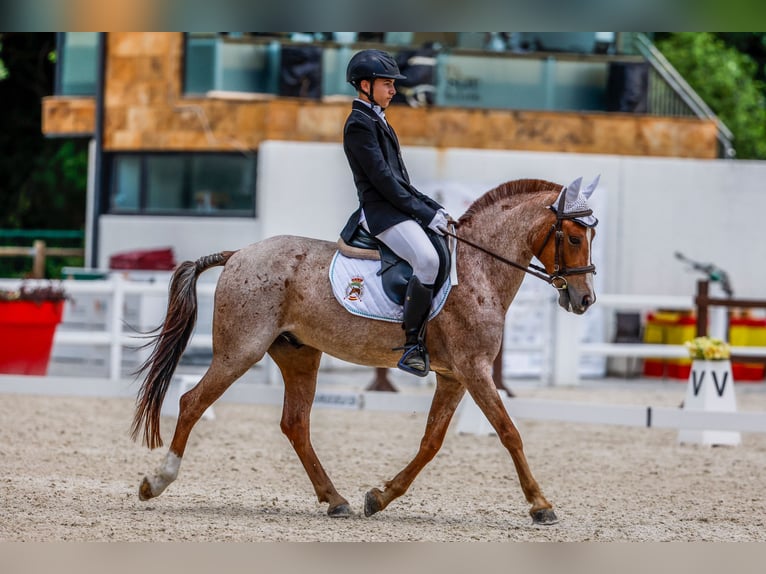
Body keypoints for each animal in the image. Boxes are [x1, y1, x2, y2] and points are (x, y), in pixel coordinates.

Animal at [132, 178, 600, 528]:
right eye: (576, 236)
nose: (584, 300)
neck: (477, 269)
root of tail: (237, 255)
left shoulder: (454, 375)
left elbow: (431, 442)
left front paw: (380, 496)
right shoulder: (474, 369)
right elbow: (509, 432)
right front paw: (541, 505)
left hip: (299, 355)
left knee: (295, 424)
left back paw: (335, 498)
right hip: (241, 350)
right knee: (193, 402)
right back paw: (156, 481)